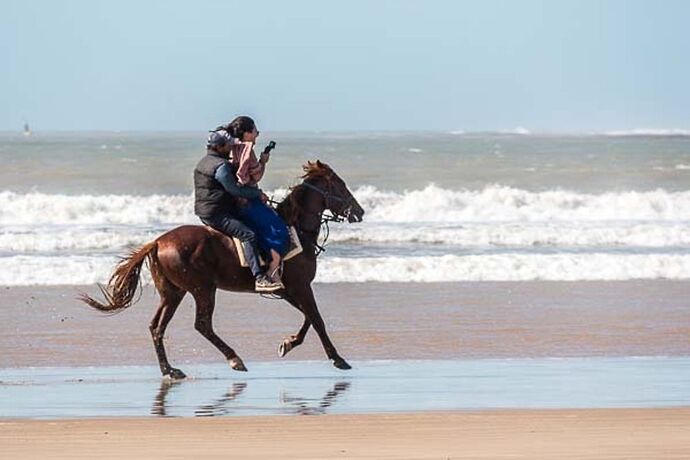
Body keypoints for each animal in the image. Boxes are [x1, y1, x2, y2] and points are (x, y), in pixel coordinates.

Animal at [79, 160, 366, 380]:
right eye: (340, 185)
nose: (360, 212)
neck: (295, 229)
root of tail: (159, 241)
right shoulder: (300, 287)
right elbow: (317, 319)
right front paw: (337, 358)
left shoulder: (289, 290)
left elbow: (308, 318)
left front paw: (289, 343)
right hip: (202, 289)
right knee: (202, 325)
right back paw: (234, 359)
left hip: (173, 293)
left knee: (156, 327)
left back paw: (170, 370)